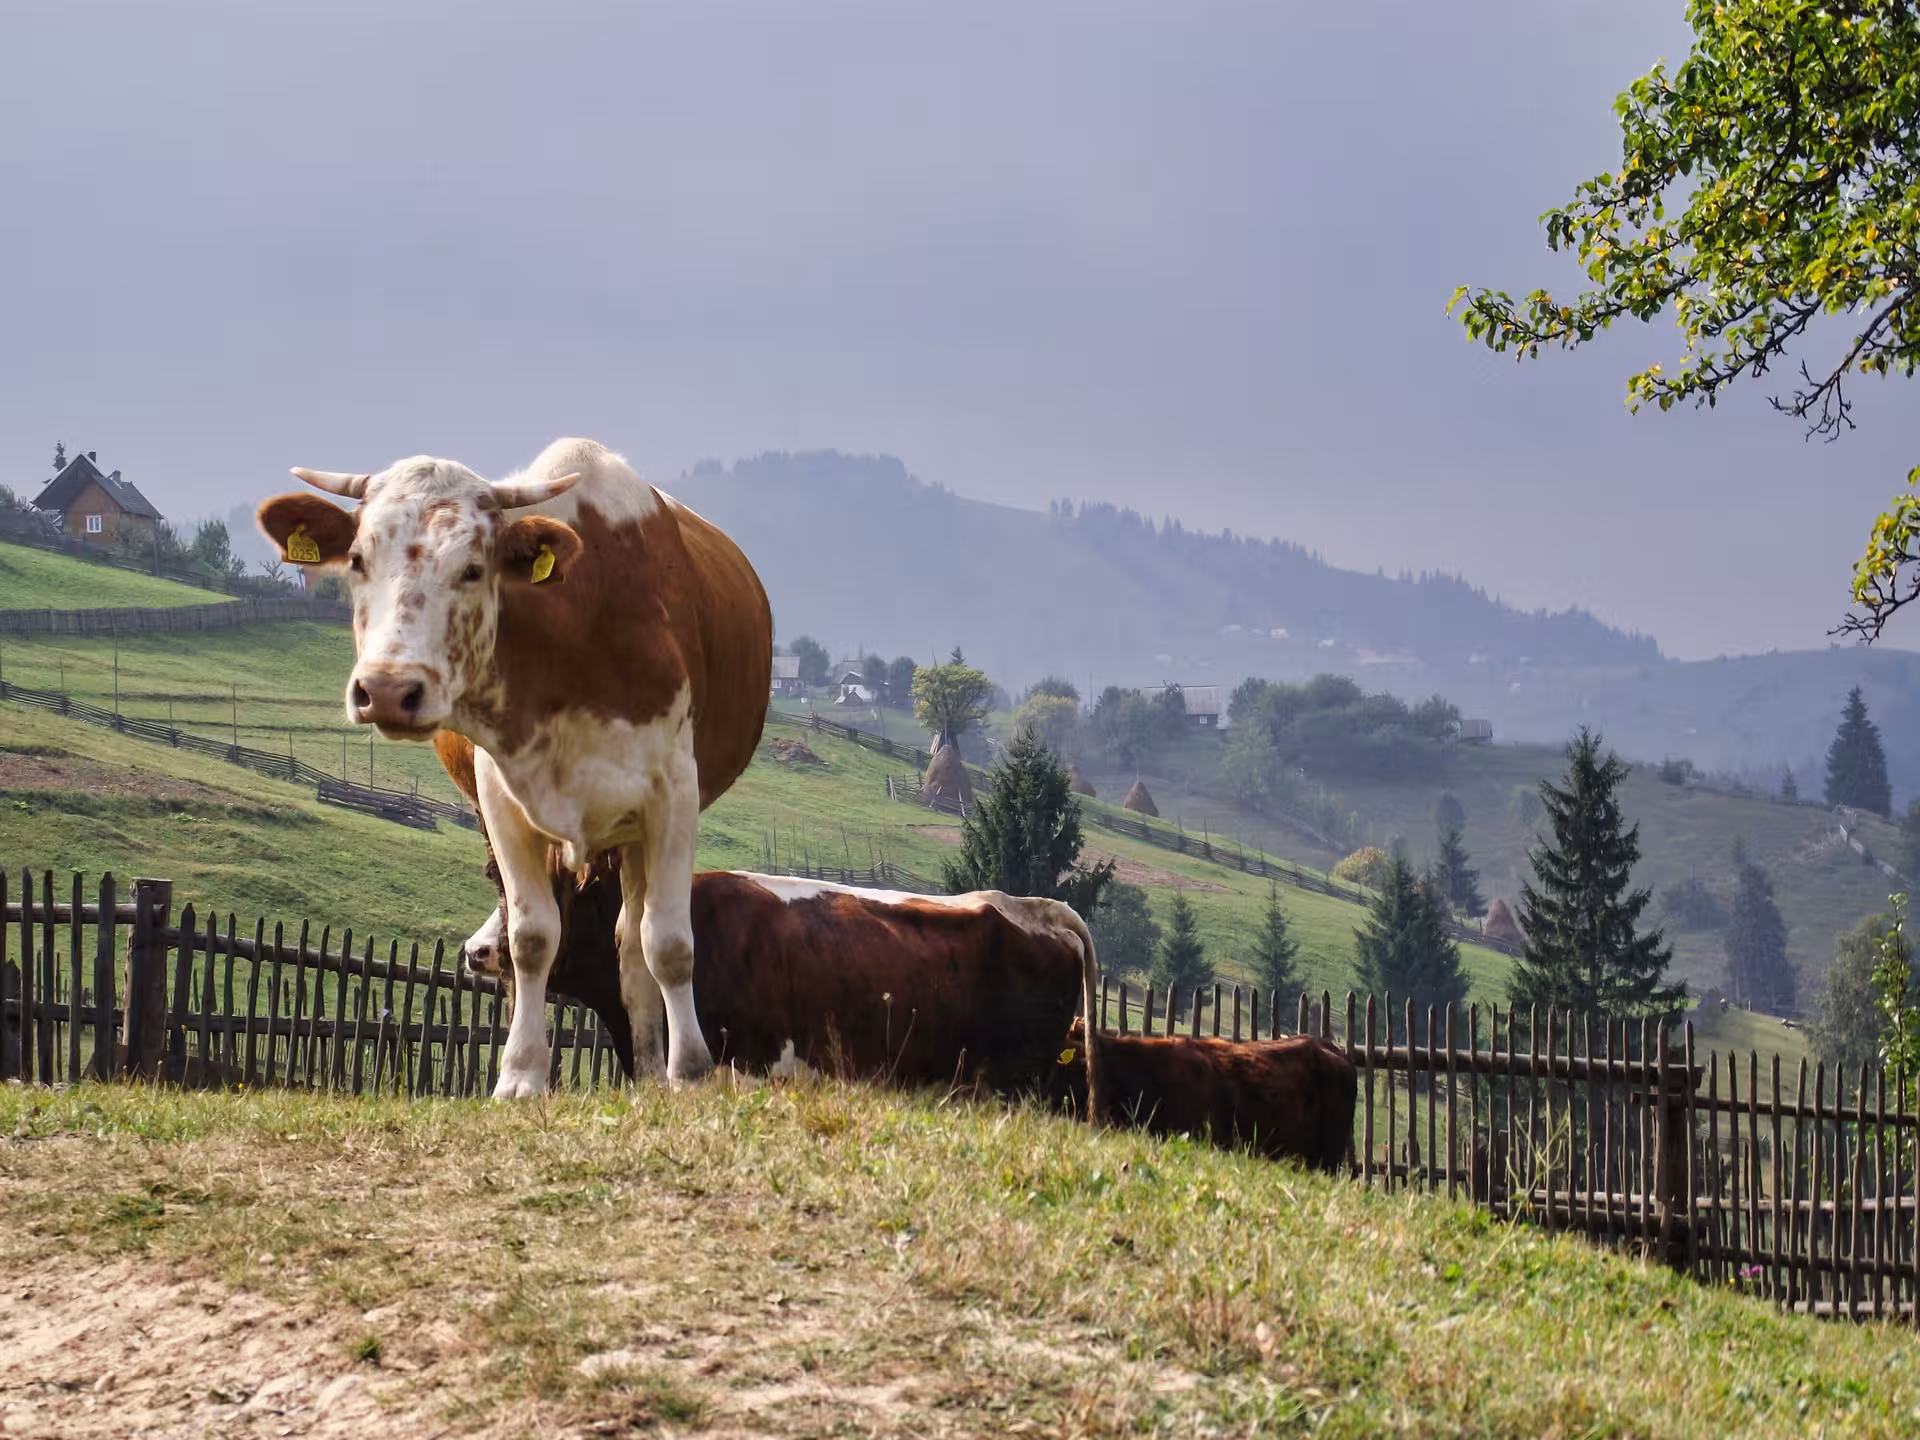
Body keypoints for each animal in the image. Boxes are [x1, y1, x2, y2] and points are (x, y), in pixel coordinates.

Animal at [257, 438, 772, 1097]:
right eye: (356, 560)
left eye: (473, 569)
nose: (389, 690)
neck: (572, 636)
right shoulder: (501, 802)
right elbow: (530, 939)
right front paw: (521, 1075)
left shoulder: (673, 797)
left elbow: (670, 944)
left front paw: (690, 1072)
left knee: (635, 941)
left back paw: (655, 1073)